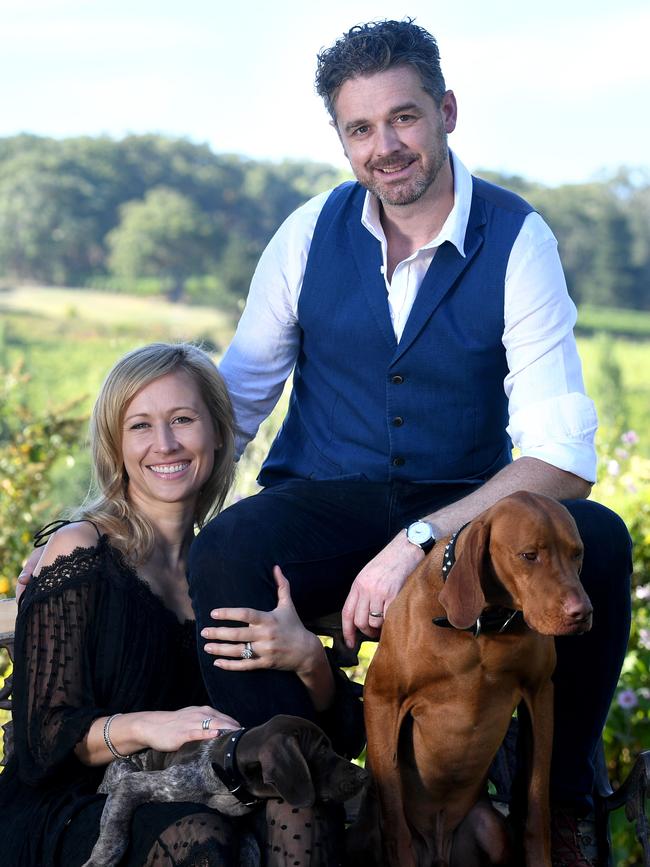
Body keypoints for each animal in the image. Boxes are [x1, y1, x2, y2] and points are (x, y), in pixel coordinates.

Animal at [82, 712, 364, 867]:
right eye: (323, 750)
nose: (364, 774)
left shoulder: (242, 827)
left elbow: (251, 851)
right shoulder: (133, 785)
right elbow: (114, 836)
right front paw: (98, 861)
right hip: (123, 768)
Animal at [360, 492, 592, 867]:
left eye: (577, 553)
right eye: (529, 555)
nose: (582, 613)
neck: (484, 625)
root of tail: (438, 850)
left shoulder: (540, 694)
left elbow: (536, 802)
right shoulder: (382, 698)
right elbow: (394, 820)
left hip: (488, 827)